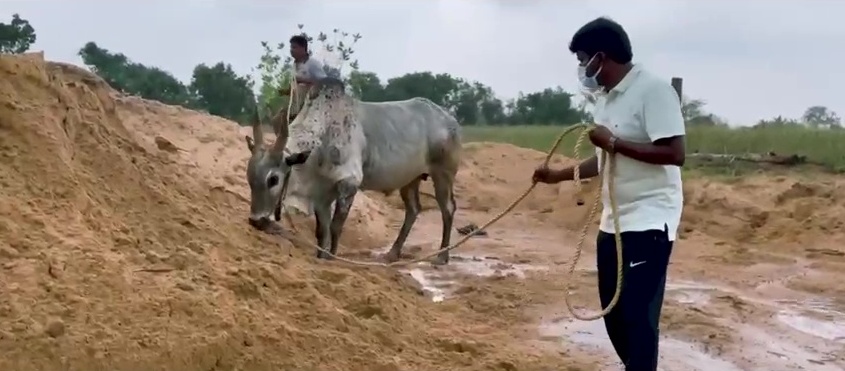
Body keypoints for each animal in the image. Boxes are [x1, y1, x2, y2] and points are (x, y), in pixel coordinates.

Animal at [241, 77, 464, 266]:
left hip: (443, 174)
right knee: (414, 209)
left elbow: (335, 227)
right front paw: (321, 256)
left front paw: (332, 258)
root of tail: (450, 119)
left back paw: (442, 256)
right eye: (250, 178)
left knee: (448, 208)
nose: (256, 221)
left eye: (273, 179)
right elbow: (321, 230)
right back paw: (392, 253)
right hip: (410, 180)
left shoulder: (349, 183)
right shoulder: (322, 195)